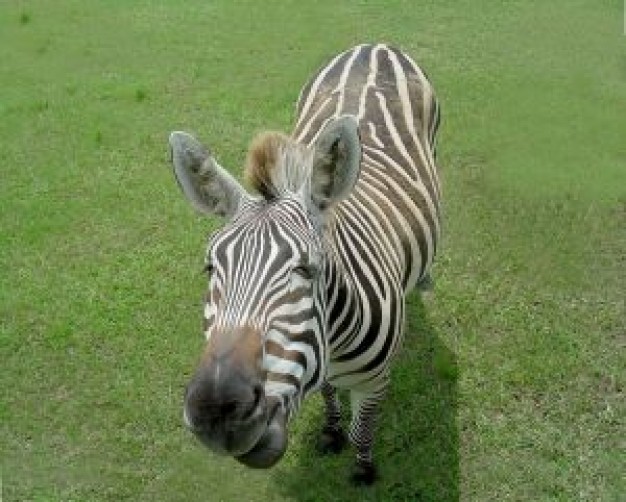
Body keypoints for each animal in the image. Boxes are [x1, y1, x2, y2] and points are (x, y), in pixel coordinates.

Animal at [167, 44, 438, 486]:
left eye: (308, 270)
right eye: (210, 269)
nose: (218, 413)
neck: (336, 345)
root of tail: (374, 45)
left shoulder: (375, 383)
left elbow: (364, 429)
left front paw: (363, 468)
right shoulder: (321, 365)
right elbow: (328, 396)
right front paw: (330, 431)